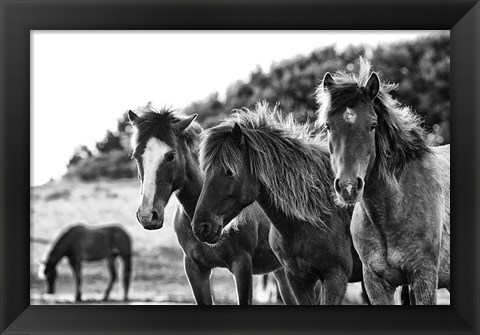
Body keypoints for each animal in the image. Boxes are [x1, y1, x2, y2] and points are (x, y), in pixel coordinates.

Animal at [125, 103, 294, 306]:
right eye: (136, 155)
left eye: (170, 156)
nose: (147, 215)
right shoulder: (195, 270)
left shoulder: (242, 265)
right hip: (282, 273)